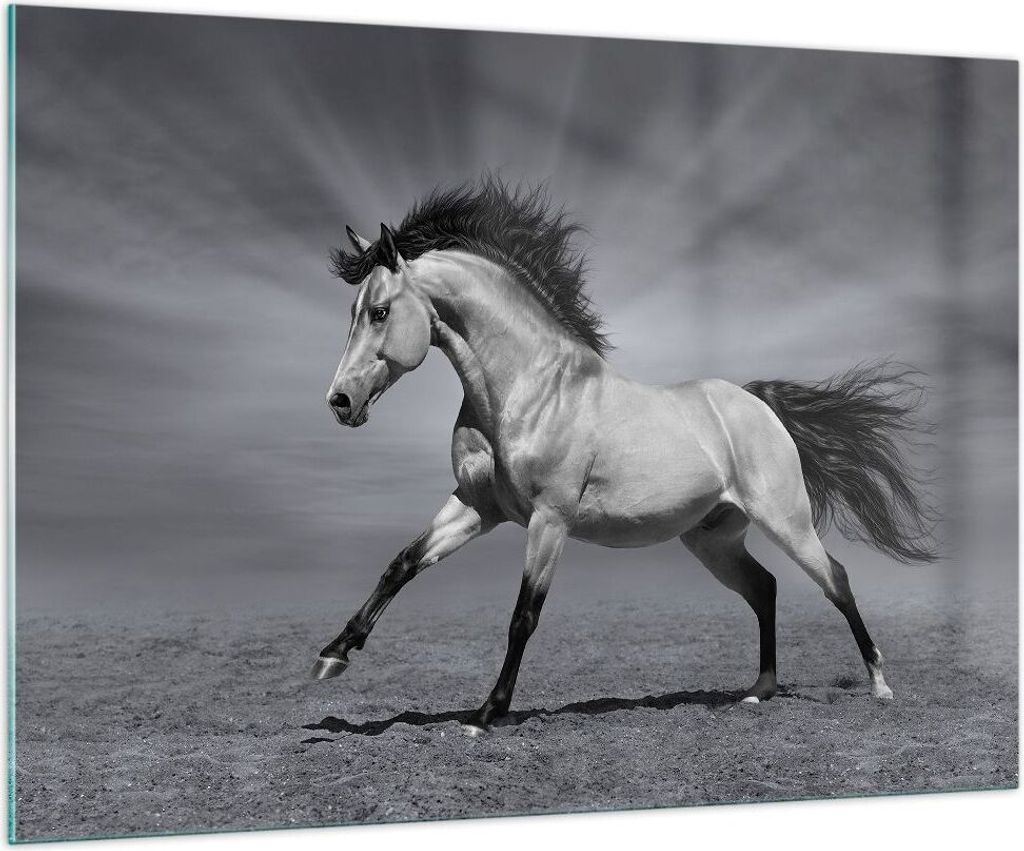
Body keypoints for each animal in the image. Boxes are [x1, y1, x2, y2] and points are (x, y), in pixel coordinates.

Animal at [311, 177, 936, 733]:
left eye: (379, 312)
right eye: (353, 312)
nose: (339, 402)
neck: (529, 389)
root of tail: (757, 403)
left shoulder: (549, 520)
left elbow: (523, 616)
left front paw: (487, 714)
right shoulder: (476, 507)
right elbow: (402, 564)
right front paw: (332, 655)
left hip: (786, 521)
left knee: (835, 579)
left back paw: (879, 684)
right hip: (712, 539)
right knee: (765, 588)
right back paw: (759, 691)